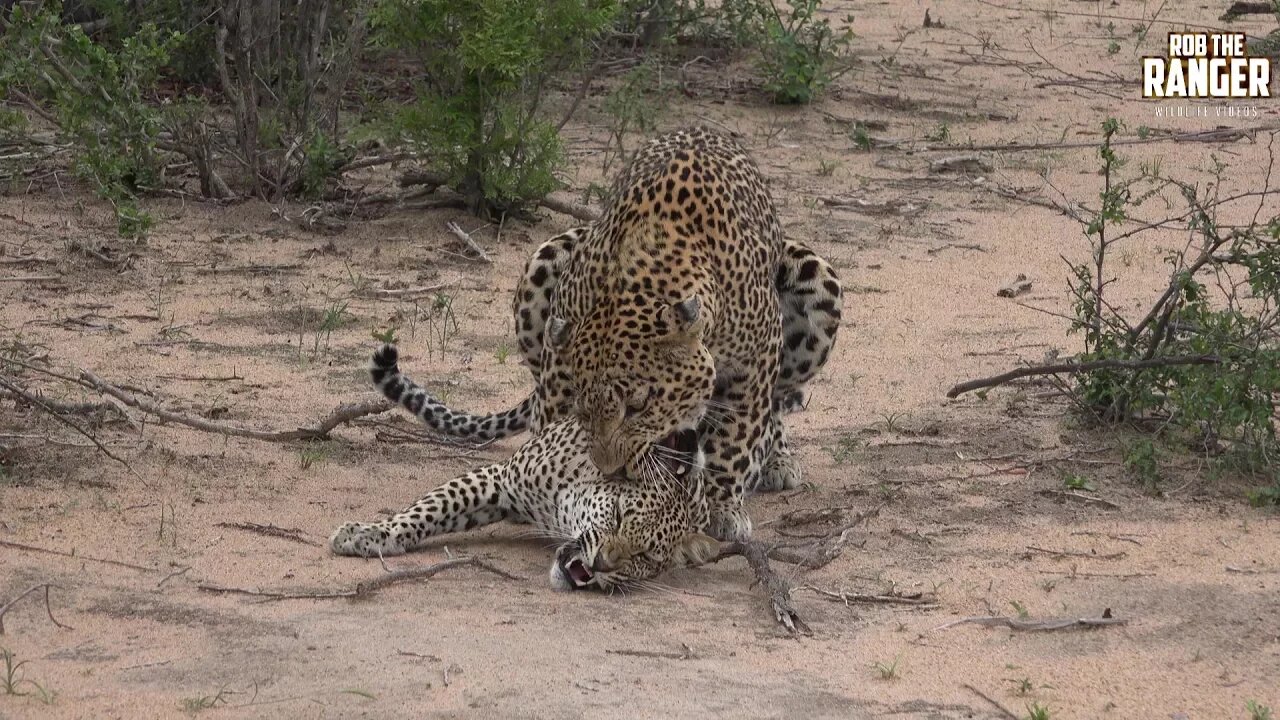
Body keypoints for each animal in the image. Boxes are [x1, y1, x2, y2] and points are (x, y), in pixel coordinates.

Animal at [330, 345, 727, 589]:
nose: (602, 563)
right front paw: (370, 534)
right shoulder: (500, 479)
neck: (562, 507)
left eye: (644, 557)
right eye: (616, 516)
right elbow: (432, 508)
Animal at [373, 126, 849, 538]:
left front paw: (720, 507)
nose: (611, 469)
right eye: (585, 408)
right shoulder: (559, 370)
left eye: (639, 406)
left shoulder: (754, 361)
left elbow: (734, 439)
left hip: (820, 282)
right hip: (546, 257)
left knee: (775, 407)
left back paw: (777, 459)